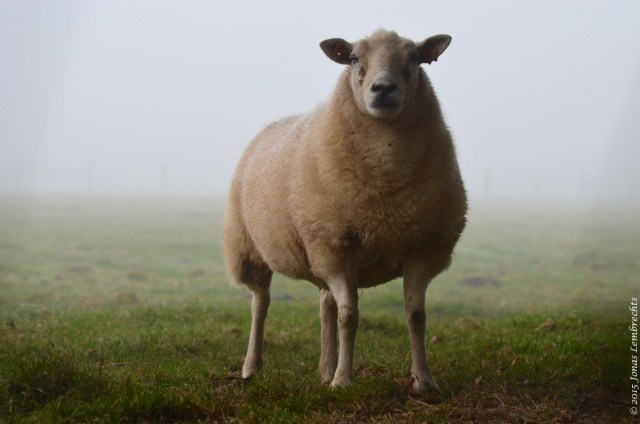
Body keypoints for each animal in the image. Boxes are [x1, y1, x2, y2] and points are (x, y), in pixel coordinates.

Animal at [222, 29, 467, 393]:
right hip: (253, 247)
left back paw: (325, 368)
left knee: (325, 305)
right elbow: (349, 317)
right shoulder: (336, 246)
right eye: (353, 58)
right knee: (260, 303)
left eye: (414, 58)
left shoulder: (421, 247)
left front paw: (424, 380)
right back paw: (253, 367)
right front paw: (343, 381)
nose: (383, 88)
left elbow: (416, 316)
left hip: (318, 250)